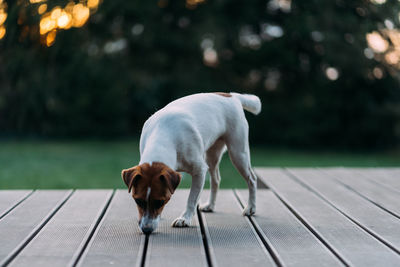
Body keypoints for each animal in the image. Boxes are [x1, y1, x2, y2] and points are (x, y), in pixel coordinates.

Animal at [120, 92, 260, 234]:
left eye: (160, 202)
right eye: (138, 201)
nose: (146, 230)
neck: (162, 136)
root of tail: (231, 95)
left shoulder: (199, 170)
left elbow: (192, 199)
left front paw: (185, 218)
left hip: (238, 153)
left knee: (252, 179)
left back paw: (251, 207)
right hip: (212, 154)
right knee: (216, 179)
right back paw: (210, 205)